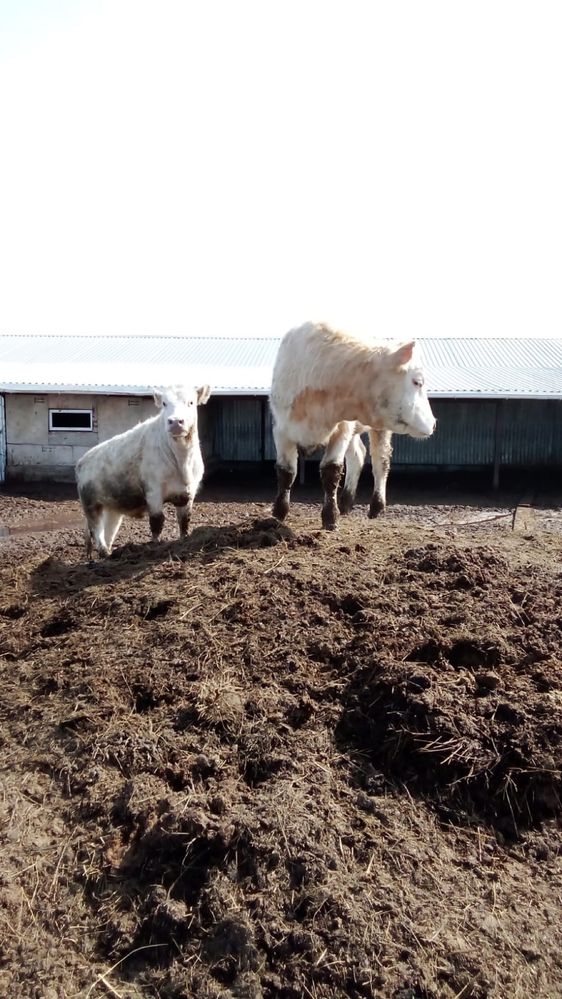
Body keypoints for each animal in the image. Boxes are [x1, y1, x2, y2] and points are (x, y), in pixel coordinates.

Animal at [75, 384, 211, 560]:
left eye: (191, 402)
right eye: (164, 403)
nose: (175, 421)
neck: (182, 462)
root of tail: (82, 461)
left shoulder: (188, 493)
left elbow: (184, 520)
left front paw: (184, 540)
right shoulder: (153, 490)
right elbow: (157, 521)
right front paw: (155, 545)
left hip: (112, 509)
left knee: (108, 531)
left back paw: (110, 553)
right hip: (91, 504)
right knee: (96, 531)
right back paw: (105, 553)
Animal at [266, 326, 434, 532]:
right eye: (418, 382)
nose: (433, 423)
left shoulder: (341, 429)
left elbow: (331, 471)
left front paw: (330, 517)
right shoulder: (281, 429)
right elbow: (286, 472)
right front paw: (278, 514)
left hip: (378, 428)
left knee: (381, 461)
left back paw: (376, 506)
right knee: (358, 456)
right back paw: (346, 502)